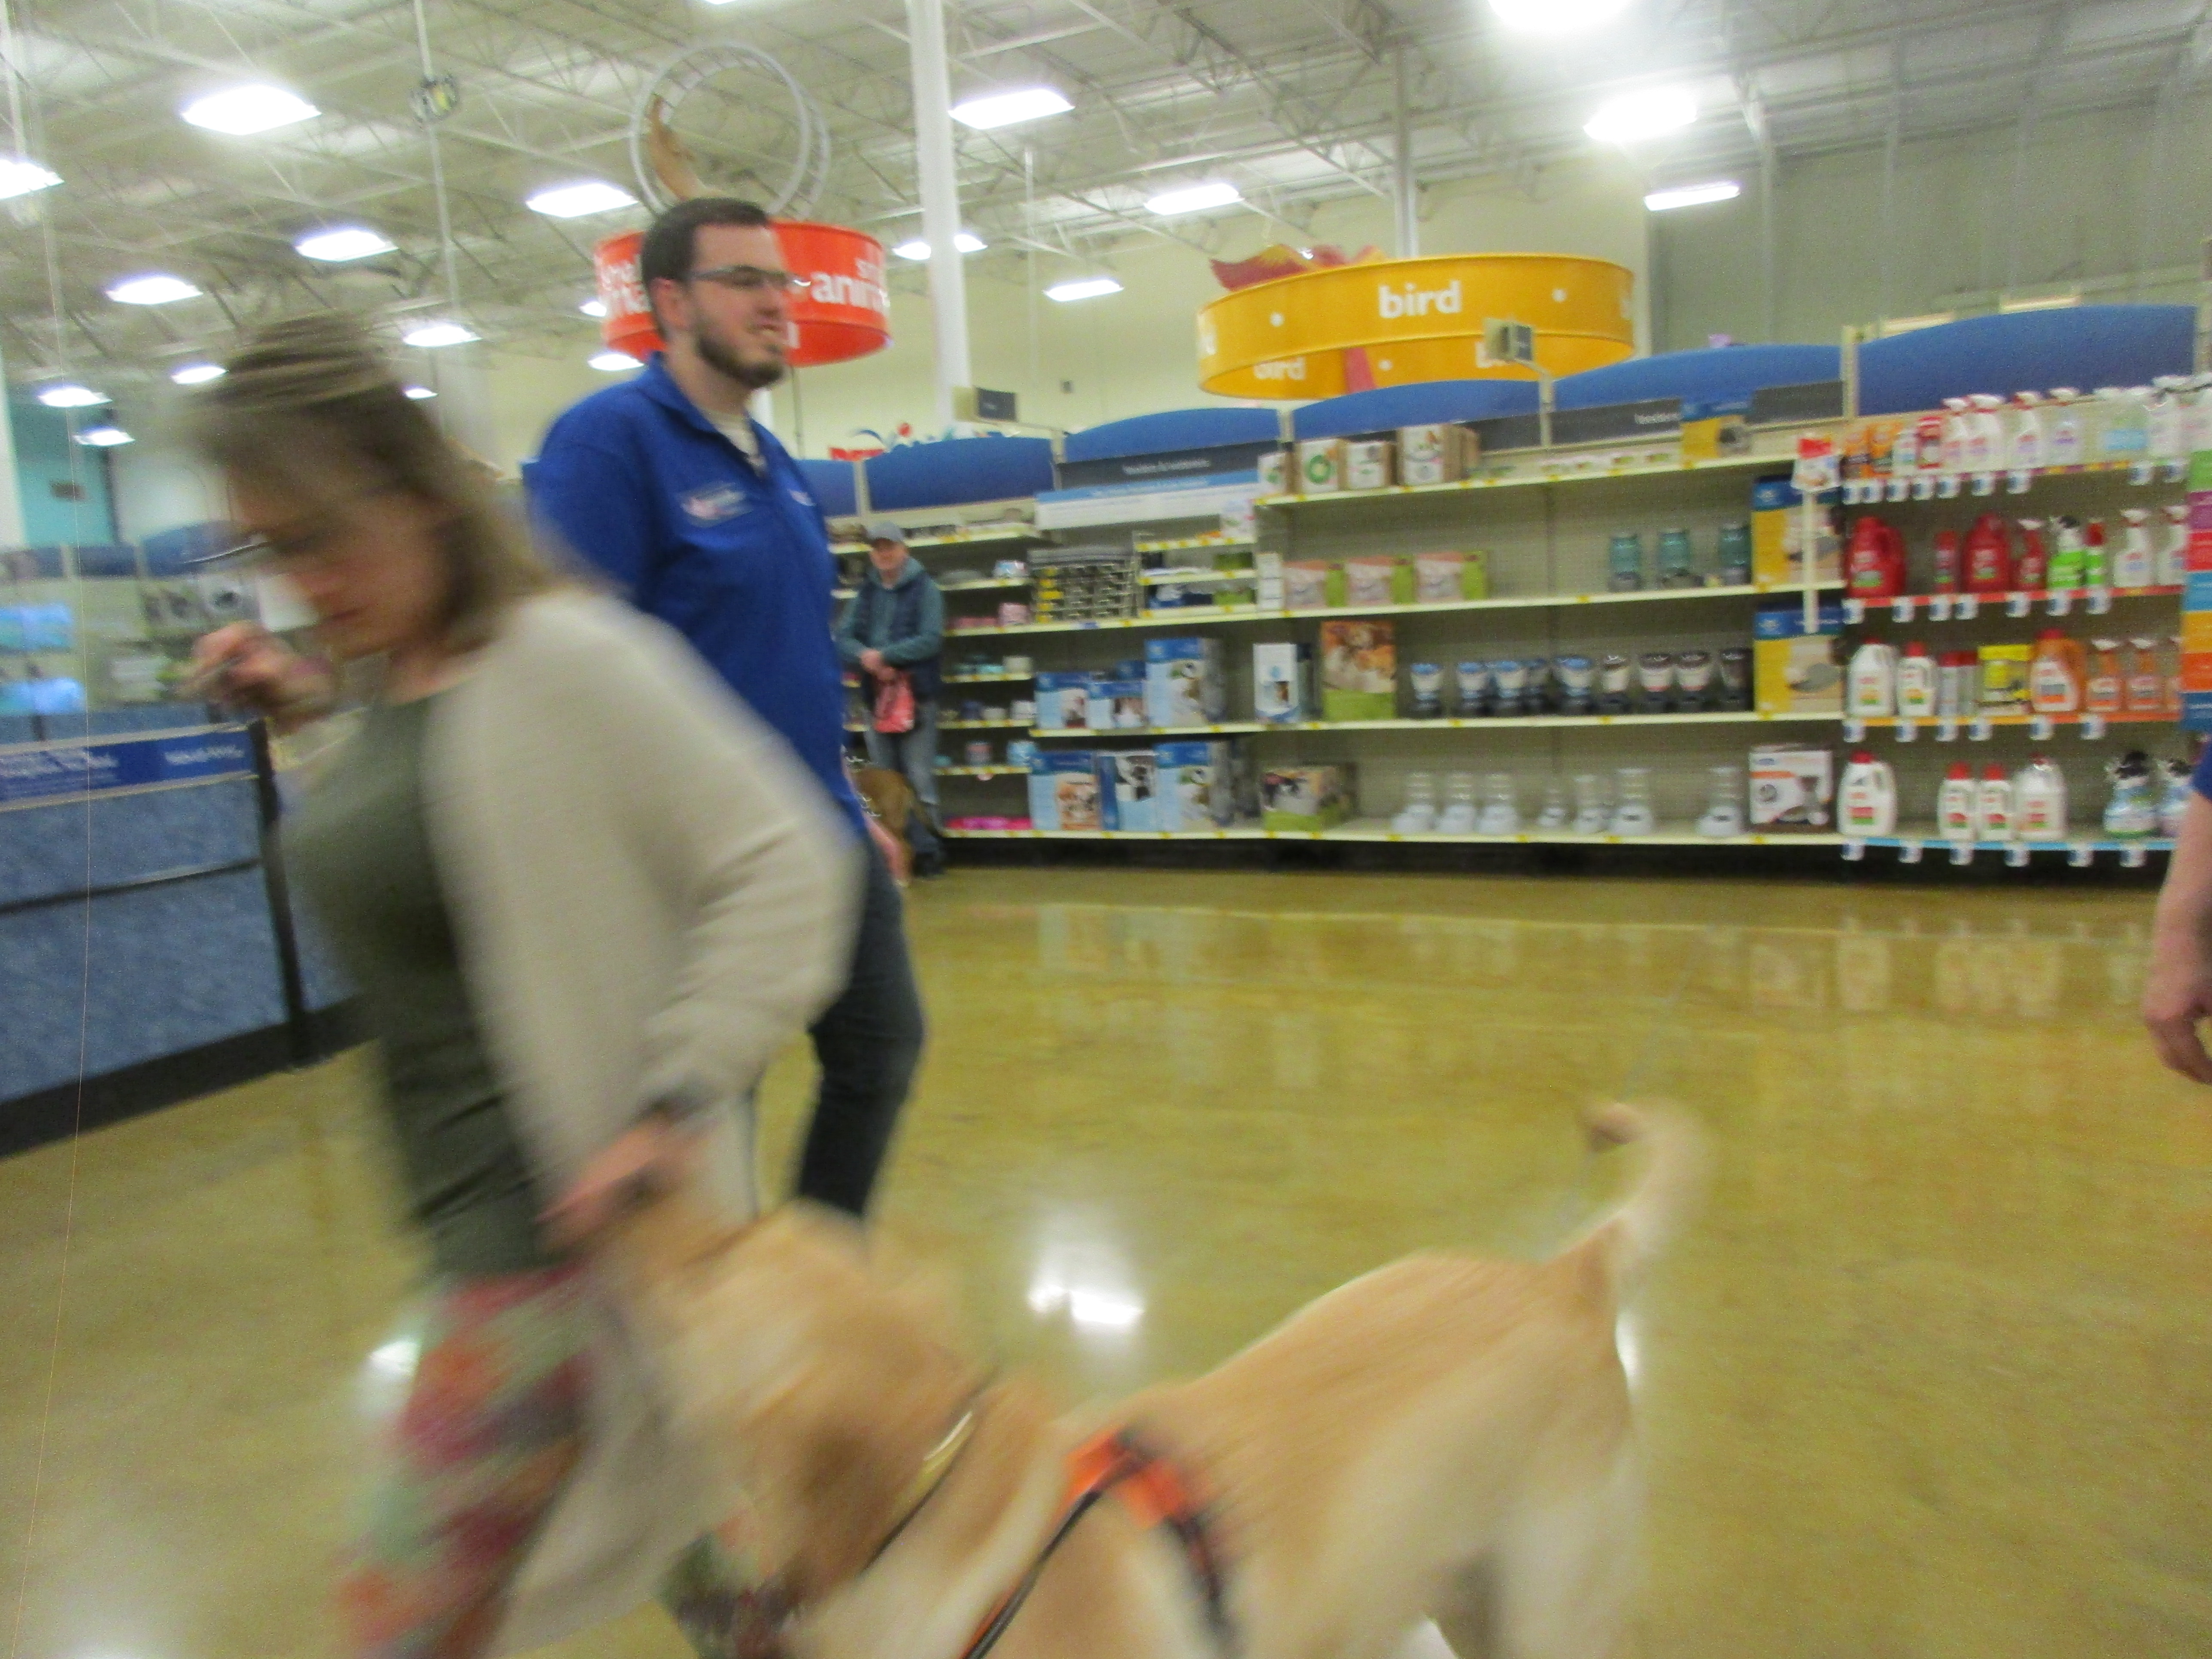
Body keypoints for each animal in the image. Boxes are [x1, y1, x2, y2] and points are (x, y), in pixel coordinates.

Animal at [607, 1108, 1695, 1659]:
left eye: (713, 1267)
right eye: (747, 1231)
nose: (635, 1171)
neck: (940, 1510)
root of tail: (1567, 1274)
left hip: (1548, 1613)